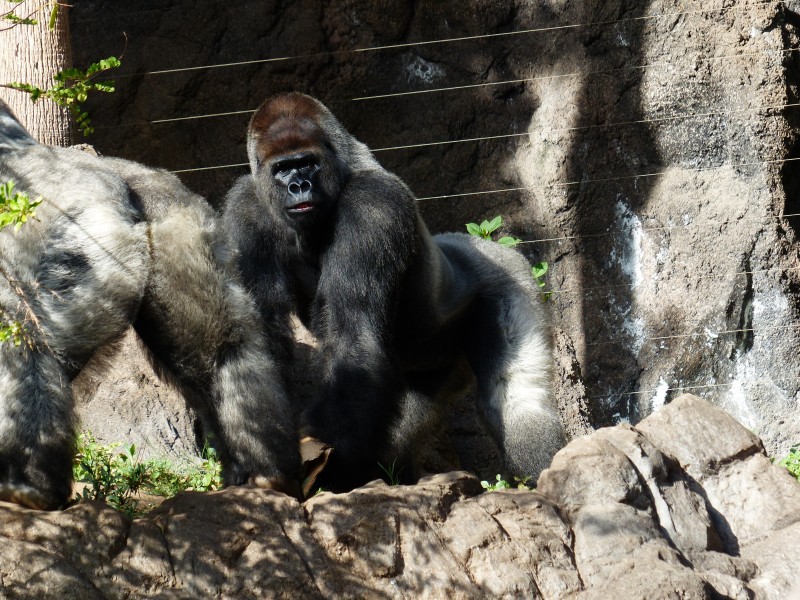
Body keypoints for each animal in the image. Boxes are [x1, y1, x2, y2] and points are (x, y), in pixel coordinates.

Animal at [0, 101, 300, 508]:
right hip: (178, 229)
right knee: (222, 352)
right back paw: (265, 470)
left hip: (76, 246)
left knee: (21, 336)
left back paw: (29, 486)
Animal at [222, 91, 564, 490]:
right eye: (282, 169)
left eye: (307, 163)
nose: (298, 186)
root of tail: (479, 243)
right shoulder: (245, 208)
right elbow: (261, 336)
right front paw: (259, 457)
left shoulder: (374, 205)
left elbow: (354, 337)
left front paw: (331, 467)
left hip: (511, 276)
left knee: (515, 394)